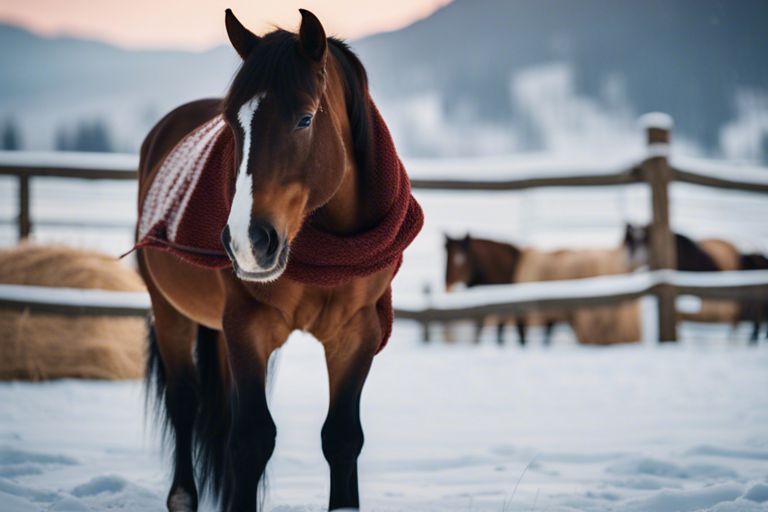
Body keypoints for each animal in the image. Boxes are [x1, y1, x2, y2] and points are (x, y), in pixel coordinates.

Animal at [133, 9, 420, 512]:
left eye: (305, 119)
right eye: (232, 123)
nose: (248, 241)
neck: (330, 251)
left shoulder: (356, 333)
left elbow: (342, 438)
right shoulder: (249, 326)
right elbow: (252, 439)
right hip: (169, 312)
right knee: (184, 400)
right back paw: (183, 496)